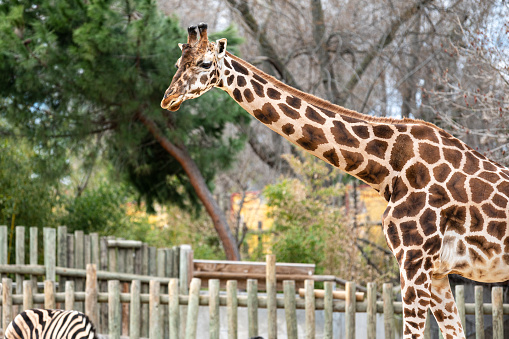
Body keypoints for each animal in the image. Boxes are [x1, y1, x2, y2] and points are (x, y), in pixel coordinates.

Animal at [161, 22, 508, 338]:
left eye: (205, 64)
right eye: (178, 63)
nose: (169, 98)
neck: (389, 167)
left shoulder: (414, 262)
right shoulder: (434, 271)